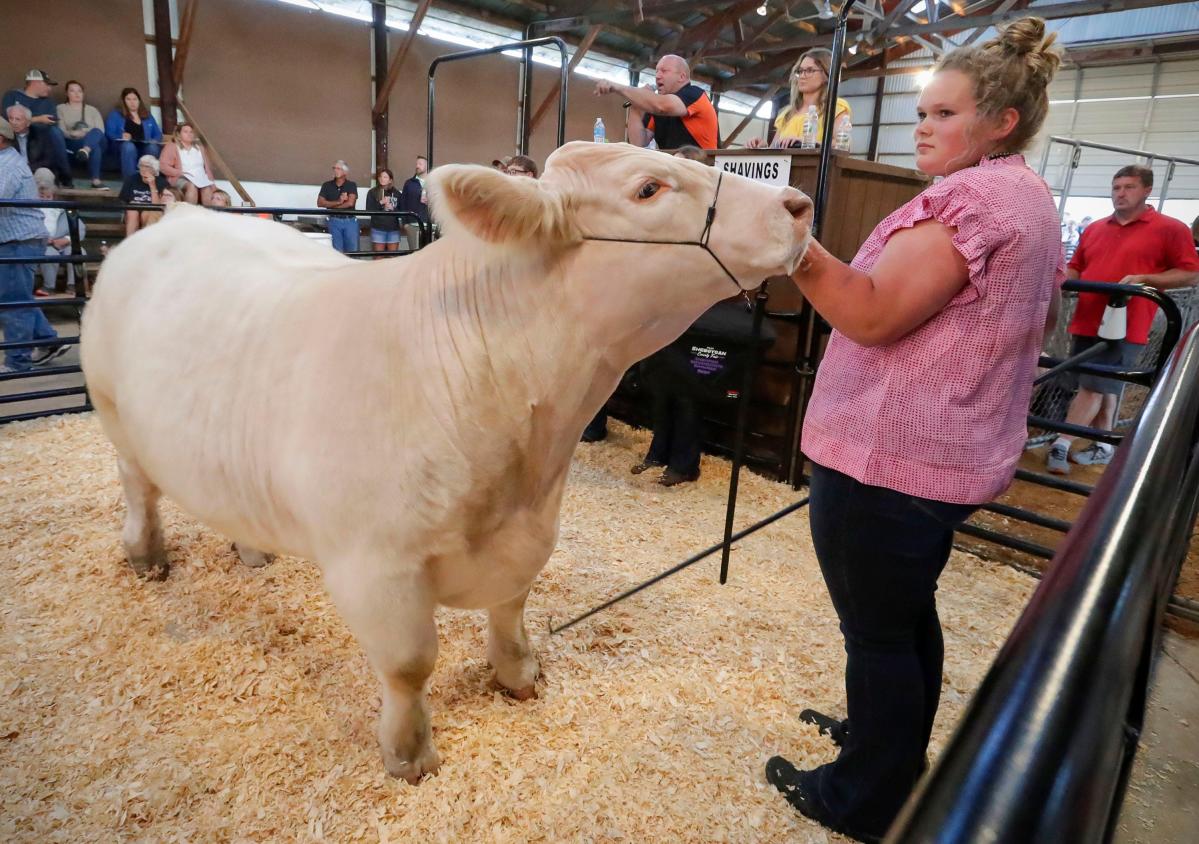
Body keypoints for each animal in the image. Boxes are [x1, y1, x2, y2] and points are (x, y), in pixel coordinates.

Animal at [82, 141, 815, 781]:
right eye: (648, 188)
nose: (799, 203)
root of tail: (181, 215)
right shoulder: (375, 567)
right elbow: (409, 665)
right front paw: (409, 754)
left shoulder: (530, 532)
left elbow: (512, 608)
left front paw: (519, 676)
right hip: (115, 413)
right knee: (138, 488)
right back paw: (146, 556)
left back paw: (253, 549)